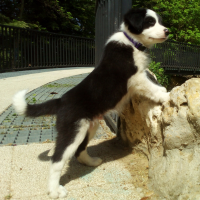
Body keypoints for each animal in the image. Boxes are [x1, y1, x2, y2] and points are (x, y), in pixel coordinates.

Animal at [12, 7, 170, 198]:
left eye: (159, 21)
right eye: (150, 22)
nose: (167, 31)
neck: (132, 42)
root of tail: (61, 101)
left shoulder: (140, 75)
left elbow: (151, 83)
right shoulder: (135, 77)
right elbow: (151, 87)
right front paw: (167, 95)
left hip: (90, 126)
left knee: (79, 151)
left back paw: (91, 162)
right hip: (73, 130)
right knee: (57, 159)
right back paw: (54, 190)